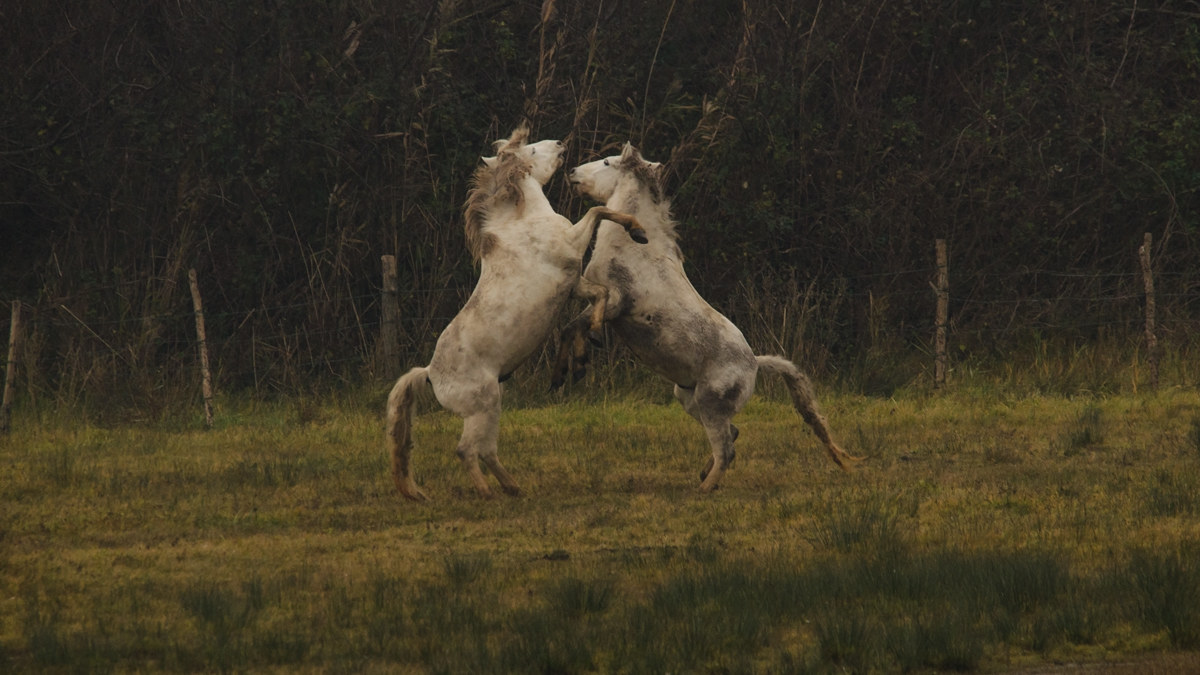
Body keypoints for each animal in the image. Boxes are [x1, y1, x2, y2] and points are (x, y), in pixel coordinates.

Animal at [385, 126, 648, 500]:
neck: (524, 224)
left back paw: (513, 488)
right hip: (482, 407)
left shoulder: (573, 283)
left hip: (493, 406)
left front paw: (589, 345)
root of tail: (430, 374)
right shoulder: (572, 245)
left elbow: (600, 293)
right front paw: (637, 229)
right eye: (532, 150)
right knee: (467, 450)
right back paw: (487, 493)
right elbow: (598, 211)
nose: (560, 145)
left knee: (487, 451)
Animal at [556, 142, 858, 492]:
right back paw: (704, 476)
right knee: (733, 434)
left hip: (710, 404)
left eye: (607, 162)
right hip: (689, 398)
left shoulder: (617, 301)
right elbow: (570, 326)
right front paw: (568, 369)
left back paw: (704, 489)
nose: (572, 172)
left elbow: (581, 322)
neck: (634, 247)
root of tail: (756, 364)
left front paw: (582, 355)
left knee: (725, 447)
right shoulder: (599, 297)